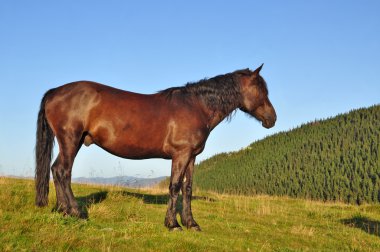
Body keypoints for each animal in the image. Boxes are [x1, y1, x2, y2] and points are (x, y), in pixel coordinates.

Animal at [35, 64, 276, 230]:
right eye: (261, 90)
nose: (272, 118)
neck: (196, 107)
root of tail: (55, 91)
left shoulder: (191, 157)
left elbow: (188, 189)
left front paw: (191, 223)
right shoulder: (180, 155)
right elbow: (175, 187)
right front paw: (173, 224)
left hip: (72, 142)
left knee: (56, 170)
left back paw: (63, 211)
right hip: (70, 140)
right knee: (63, 172)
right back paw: (76, 212)